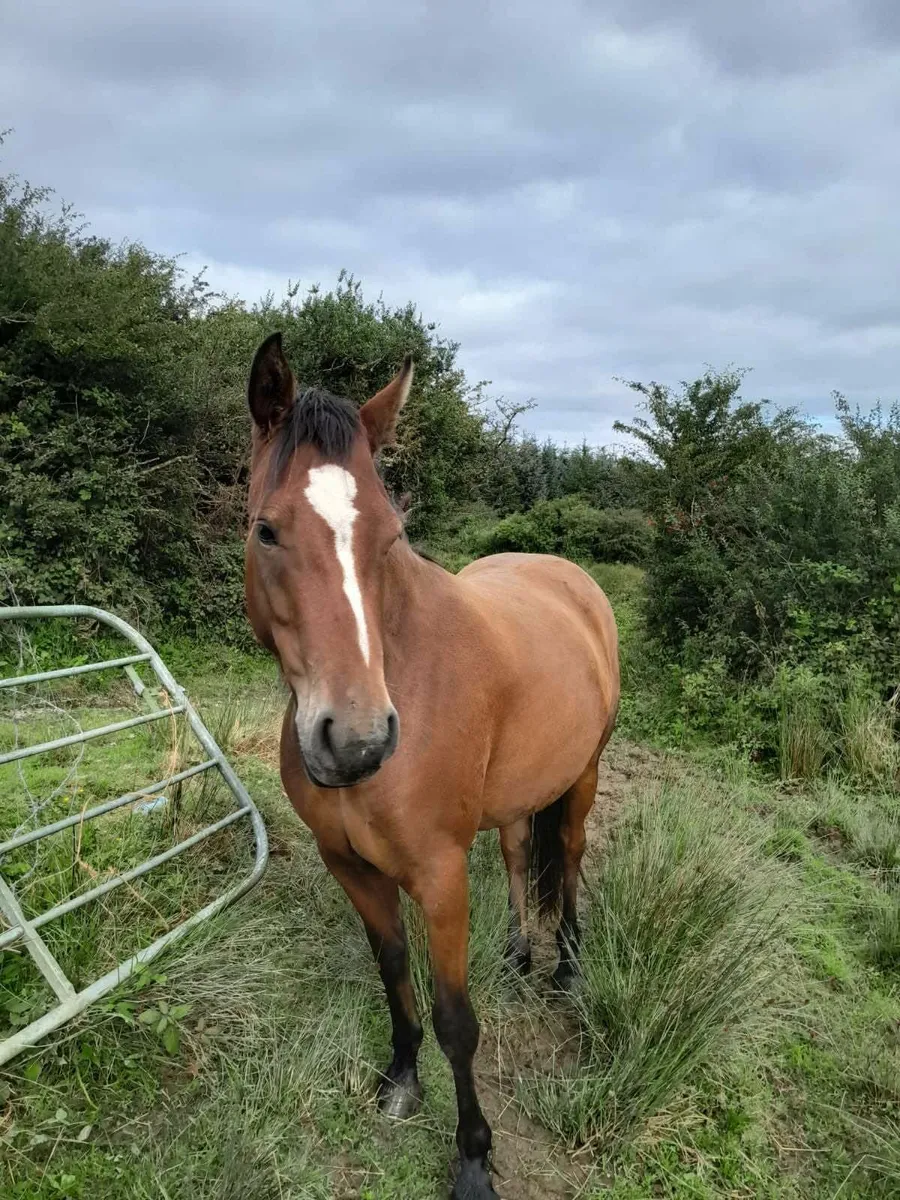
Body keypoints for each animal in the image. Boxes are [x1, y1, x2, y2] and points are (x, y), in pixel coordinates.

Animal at [243, 333, 620, 1199]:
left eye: (389, 534)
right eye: (267, 531)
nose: (356, 741)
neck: (403, 670)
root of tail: (569, 575)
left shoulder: (441, 878)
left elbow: (456, 1020)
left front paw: (474, 1158)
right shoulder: (351, 866)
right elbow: (394, 973)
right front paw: (400, 1080)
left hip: (583, 777)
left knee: (569, 856)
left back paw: (567, 968)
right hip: (516, 795)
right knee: (517, 850)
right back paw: (519, 953)